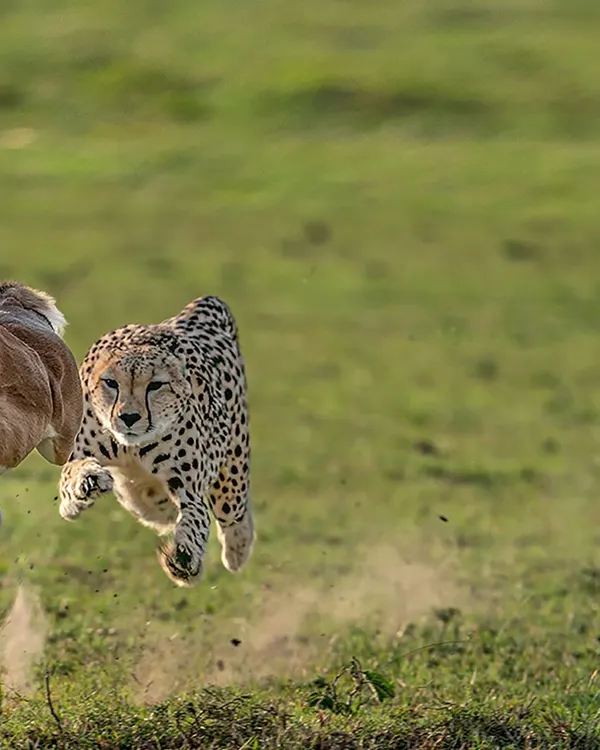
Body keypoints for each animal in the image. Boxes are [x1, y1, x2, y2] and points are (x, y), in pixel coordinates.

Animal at [57, 295, 255, 587]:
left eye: (155, 386)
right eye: (111, 383)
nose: (128, 417)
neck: (131, 447)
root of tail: (203, 303)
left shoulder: (189, 491)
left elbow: (195, 520)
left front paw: (184, 558)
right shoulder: (78, 455)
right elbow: (71, 479)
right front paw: (88, 482)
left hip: (231, 476)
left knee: (233, 512)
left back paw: (238, 551)